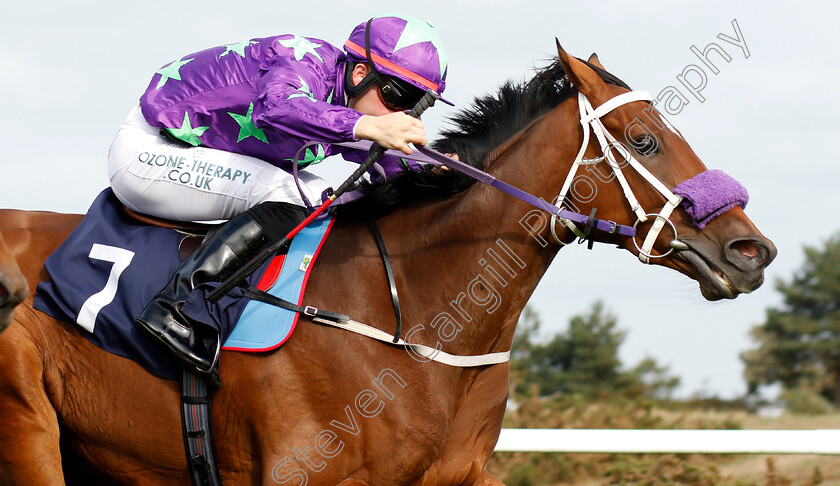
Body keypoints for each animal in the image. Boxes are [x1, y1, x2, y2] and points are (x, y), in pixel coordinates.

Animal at [0, 46, 776, 486]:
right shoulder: (302, 471)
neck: (416, 322)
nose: (752, 251)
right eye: (645, 140)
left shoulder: (458, 475)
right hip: (29, 430)